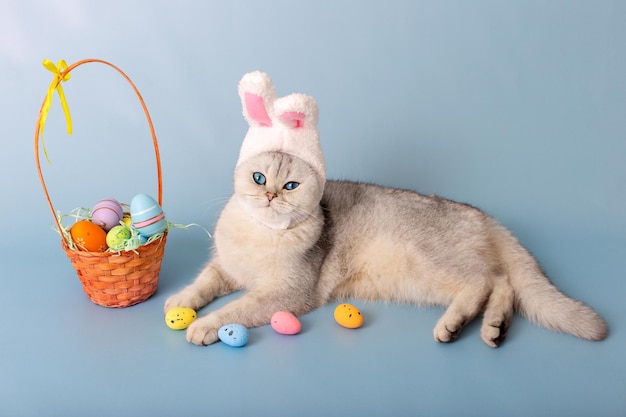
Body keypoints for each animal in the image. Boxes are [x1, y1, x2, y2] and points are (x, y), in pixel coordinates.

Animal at [163, 70, 604, 344]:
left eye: (290, 185)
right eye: (258, 178)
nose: (271, 196)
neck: (260, 234)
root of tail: (482, 214)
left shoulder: (286, 293)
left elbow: (236, 307)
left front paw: (206, 325)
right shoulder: (225, 267)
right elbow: (203, 282)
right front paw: (181, 301)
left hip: (428, 262)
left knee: (490, 281)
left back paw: (456, 325)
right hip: (424, 282)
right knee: (503, 286)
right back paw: (491, 328)